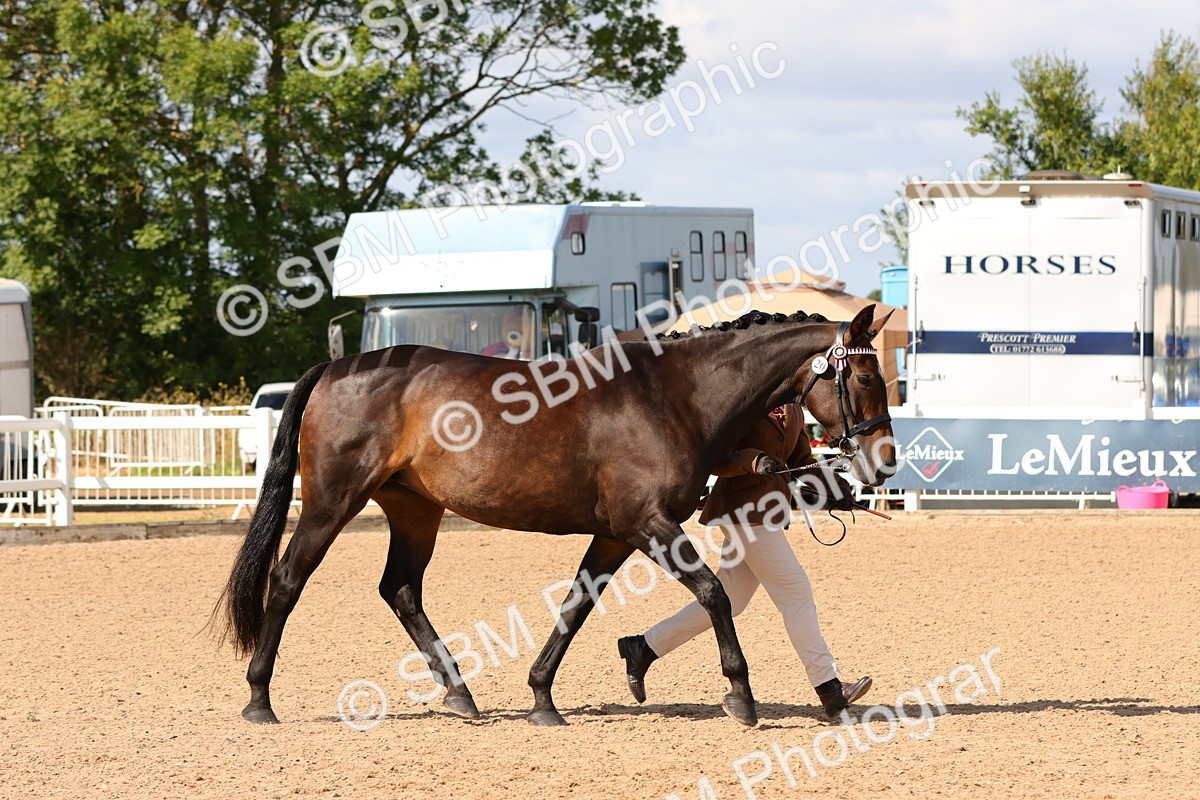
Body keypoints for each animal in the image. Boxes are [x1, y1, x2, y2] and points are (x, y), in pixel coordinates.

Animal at [220, 304, 896, 728]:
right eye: (866, 376)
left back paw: (461, 695)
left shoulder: (616, 533)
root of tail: (336, 367)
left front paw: (543, 697)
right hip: (333, 502)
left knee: (401, 590)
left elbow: (577, 605)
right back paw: (258, 699)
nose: (884, 462)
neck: (675, 395)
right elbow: (713, 594)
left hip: (416, 510)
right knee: (287, 581)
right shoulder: (649, 524)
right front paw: (741, 694)